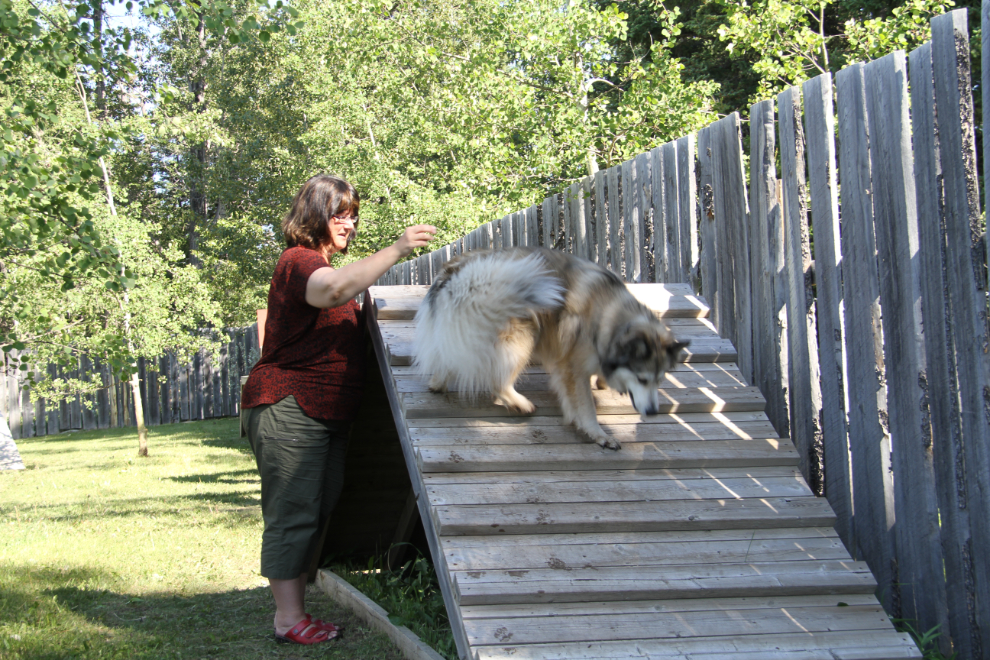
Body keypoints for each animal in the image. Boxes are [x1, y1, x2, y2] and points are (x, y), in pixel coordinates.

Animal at [412, 245, 688, 452]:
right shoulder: (573, 369)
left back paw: (439, 383)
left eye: (659, 380)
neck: (609, 315)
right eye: (642, 379)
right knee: (497, 382)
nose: (652, 413)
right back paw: (520, 404)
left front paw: (603, 384)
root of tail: (455, 273)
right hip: (523, 337)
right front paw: (598, 434)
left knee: (450, 358)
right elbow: (586, 408)